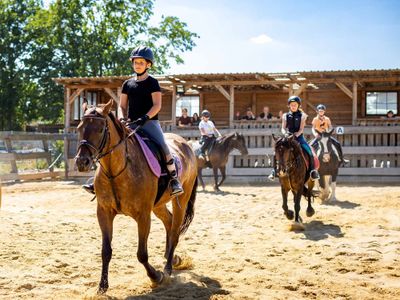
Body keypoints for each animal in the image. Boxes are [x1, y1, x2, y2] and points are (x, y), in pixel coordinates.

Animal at [74, 100, 198, 292]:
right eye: (80, 127)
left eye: (100, 129)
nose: (82, 162)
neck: (116, 171)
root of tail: (186, 144)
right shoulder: (103, 212)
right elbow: (106, 251)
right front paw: (102, 286)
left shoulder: (143, 215)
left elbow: (142, 254)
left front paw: (156, 276)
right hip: (159, 205)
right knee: (169, 222)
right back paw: (173, 257)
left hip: (181, 202)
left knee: (175, 230)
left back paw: (168, 268)